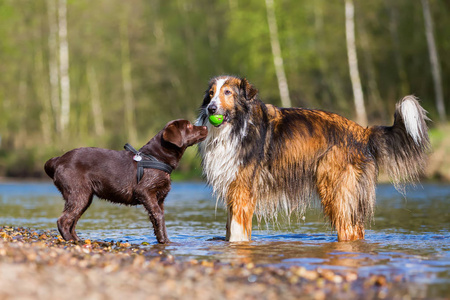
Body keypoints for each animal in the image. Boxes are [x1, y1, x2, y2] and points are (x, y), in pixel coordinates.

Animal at [44, 119, 207, 244]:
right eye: (189, 126)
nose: (205, 127)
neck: (156, 157)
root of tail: (57, 160)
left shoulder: (159, 198)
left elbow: (159, 222)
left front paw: (164, 241)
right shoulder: (145, 191)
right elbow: (159, 217)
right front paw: (165, 242)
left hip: (84, 196)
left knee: (72, 221)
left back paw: (78, 240)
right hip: (78, 193)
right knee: (63, 220)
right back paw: (71, 241)